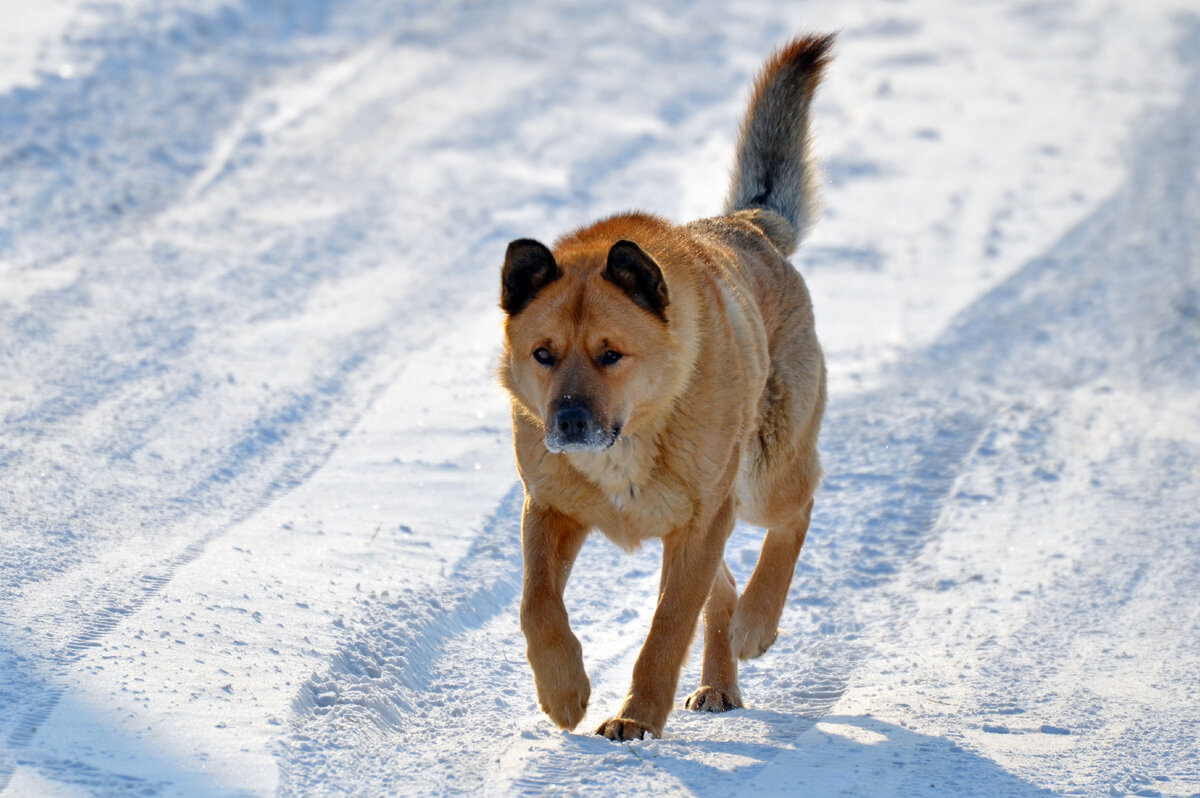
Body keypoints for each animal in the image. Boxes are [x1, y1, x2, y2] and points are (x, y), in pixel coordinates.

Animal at [499, 34, 835, 739]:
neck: (635, 432)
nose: (569, 422)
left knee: (796, 512)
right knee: (724, 587)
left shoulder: (701, 521)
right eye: (543, 354)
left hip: (761, 475)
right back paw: (720, 681)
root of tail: (749, 225)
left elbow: (665, 628)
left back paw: (758, 623)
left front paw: (636, 720)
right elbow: (536, 604)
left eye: (611, 354)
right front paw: (563, 692)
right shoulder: (550, 508)